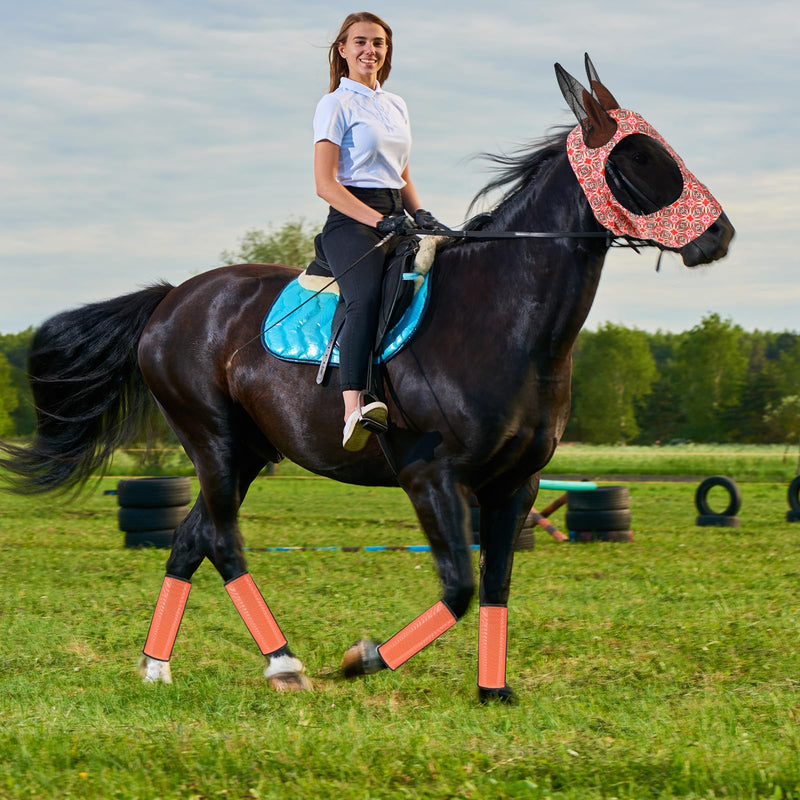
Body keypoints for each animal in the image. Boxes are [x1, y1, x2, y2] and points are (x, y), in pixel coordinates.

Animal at [0, 56, 734, 702]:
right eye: (639, 156)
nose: (721, 236)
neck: (504, 316)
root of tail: (168, 300)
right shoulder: (430, 474)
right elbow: (460, 587)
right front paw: (364, 659)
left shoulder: (516, 483)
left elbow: (496, 584)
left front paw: (494, 692)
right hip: (213, 442)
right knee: (221, 540)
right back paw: (284, 663)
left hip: (248, 451)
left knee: (188, 540)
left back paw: (158, 666)